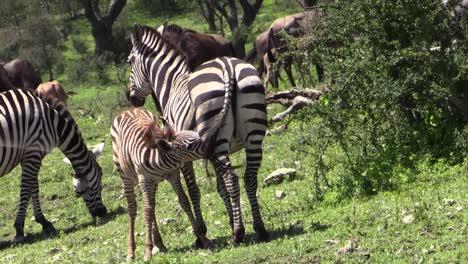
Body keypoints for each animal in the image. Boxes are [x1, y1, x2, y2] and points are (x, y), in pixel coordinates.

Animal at [0, 89, 107, 243]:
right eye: (99, 186)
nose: (103, 212)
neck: (54, 124)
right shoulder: (34, 151)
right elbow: (27, 188)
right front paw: (19, 230)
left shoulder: (29, 156)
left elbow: (34, 186)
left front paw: (44, 222)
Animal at [110, 108, 211, 260]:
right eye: (190, 146)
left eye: (195, 133)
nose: (213, 139)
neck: (160, 161)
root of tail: (129, 110)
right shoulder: (144, 180)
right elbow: (146, 211)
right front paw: (147, 251)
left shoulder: (173, 175)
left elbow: (184, 201)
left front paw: (202, 238)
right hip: (126, 177)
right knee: (134, 208)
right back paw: (131, 251)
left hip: (154, 183)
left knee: (152, 206)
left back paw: (159, 243)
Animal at [127, 23, 270, 244]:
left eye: (129, 61)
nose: (131, 98)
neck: (172, 85)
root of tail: (228, 68)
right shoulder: (208, 152)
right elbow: (220, 188)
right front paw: (231, 222)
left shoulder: (182, 153)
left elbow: (194, 190)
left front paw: (202, 232)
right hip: (252, 136)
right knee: (249, 178)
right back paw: (259, 228)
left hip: (219, 138)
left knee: (232, 179)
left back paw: (238, 234)